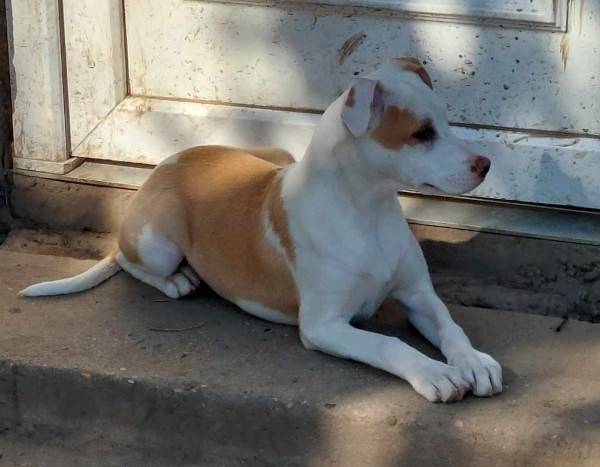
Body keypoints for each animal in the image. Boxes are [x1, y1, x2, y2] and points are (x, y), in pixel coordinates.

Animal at [20, 57, 501, 402]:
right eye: (422, 134)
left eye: (447, 121)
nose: (486, 164)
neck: (368, 210)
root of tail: (171, 160)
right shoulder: (323, 325)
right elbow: (390, 345)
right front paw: (435, 373)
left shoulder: (419, 295)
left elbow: (450, 326)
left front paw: (473, 362)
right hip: (157, 240)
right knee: (127, 257)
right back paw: (179, 280)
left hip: (277, 153)